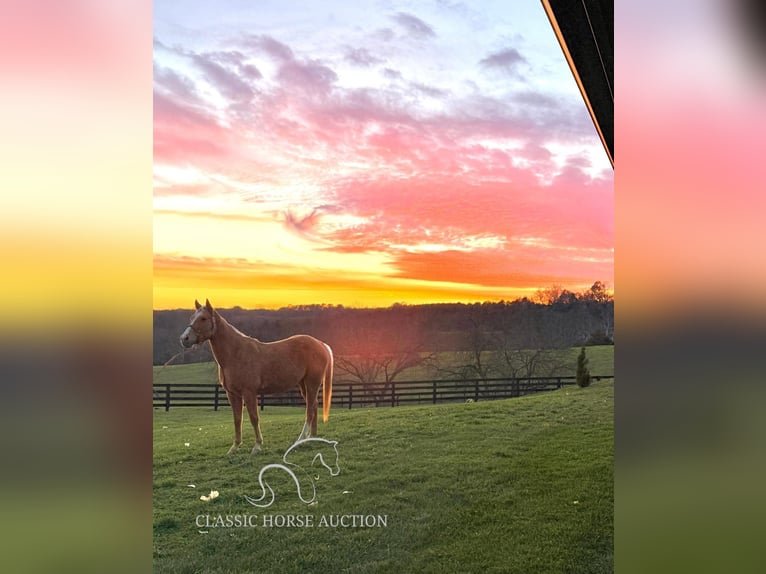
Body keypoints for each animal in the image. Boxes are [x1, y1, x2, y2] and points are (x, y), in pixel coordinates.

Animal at [183, 300, 336, 456]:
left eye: (203, 318)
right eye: (191, 318)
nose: (184, 339)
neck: (235, 354)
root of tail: (321, 344)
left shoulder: (249, 392)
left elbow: (254, 418)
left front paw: (257, 446)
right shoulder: (232, 394)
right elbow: (237, 419)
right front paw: (234, 447)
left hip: (312, 382)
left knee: (310, 409)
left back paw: (301, 439)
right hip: (303, 384)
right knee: (314, 405)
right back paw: (312, 436)